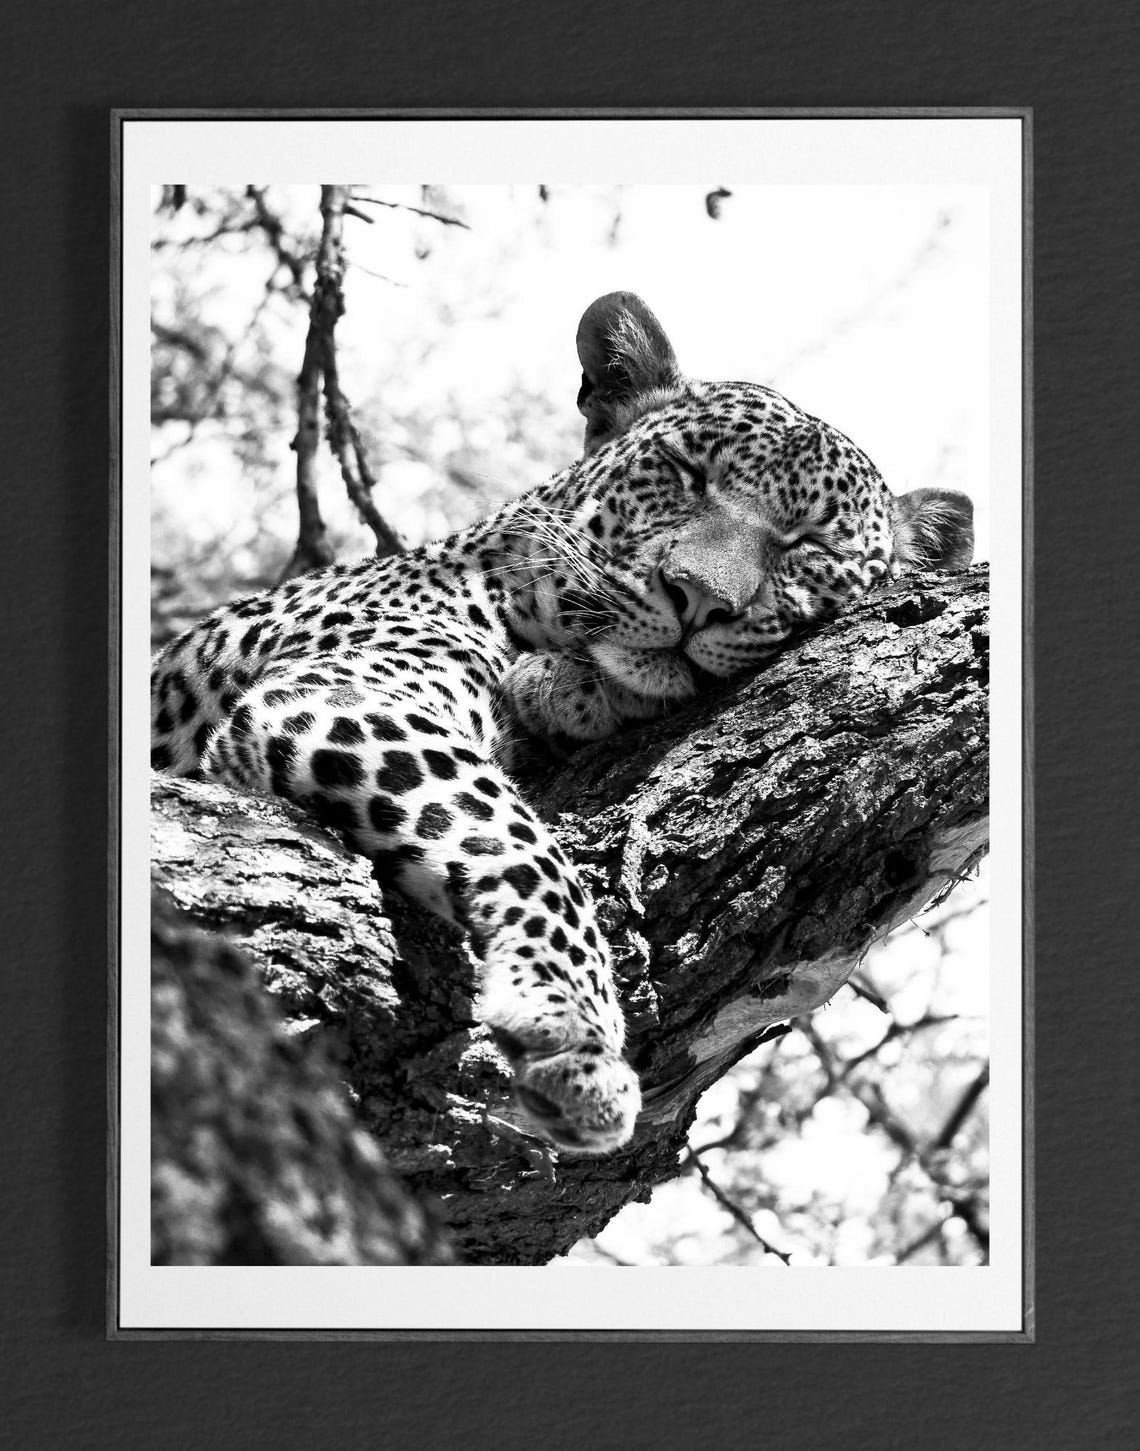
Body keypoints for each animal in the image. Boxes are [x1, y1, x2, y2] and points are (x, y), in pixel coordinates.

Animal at [151, 291, 974, 1157]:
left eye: (808, 543)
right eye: (688, 474)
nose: (697, 597)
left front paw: (563, 691)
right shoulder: (344, 690)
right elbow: (520, 844)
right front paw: (574, 1031)